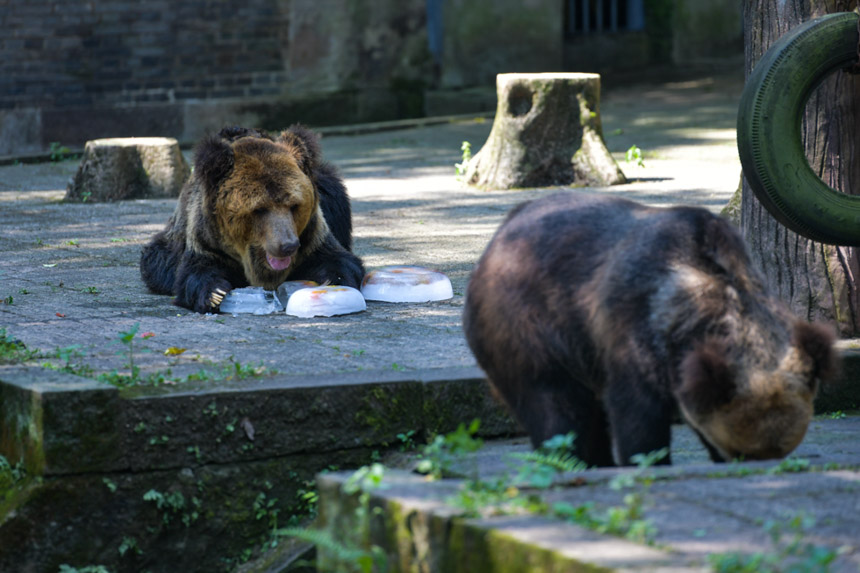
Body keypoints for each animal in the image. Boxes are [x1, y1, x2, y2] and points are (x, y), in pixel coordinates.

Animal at [139, 124, 362, 312]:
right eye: (259, 209)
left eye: (294, 205)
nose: (287, 245)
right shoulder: (208, 239)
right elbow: (197, 271)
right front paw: (215, 294)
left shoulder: (312, 235)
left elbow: (337, 259)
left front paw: (335, 280)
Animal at [464, 191, 832, 464]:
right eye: (742, 451)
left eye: (782, 450)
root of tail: (500, 233)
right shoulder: (636, 327)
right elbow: (638, 419)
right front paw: (649, 461)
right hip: (530, 326)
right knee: (555, 407)